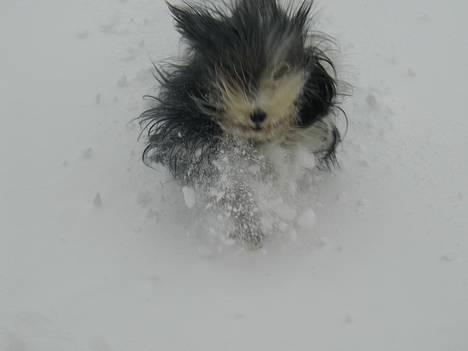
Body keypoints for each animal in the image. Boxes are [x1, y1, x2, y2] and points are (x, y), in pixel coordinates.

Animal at [139, 0, 344, 250]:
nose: (257, 114)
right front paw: (250, 226)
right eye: (233, 71)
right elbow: (231, 185)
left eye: (280, 72)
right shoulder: (196, 146)